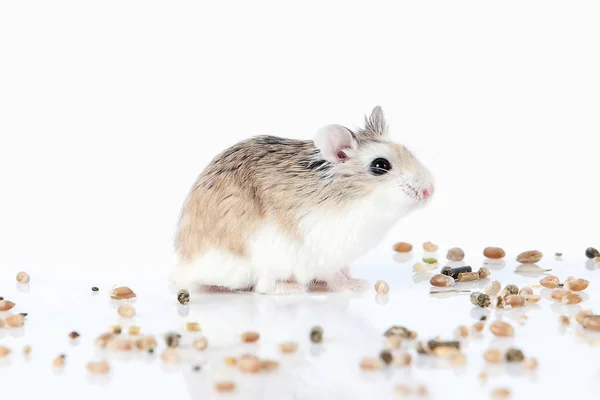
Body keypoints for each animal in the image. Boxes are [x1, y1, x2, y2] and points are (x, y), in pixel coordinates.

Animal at [171, 106, 434, 294]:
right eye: (380, 165)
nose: (429, 191)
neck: (359, 201)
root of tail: (185, 266)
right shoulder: (325, 250)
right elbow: (334, 277)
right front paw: (357, 286)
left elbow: (343, 270)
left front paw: (355, 278)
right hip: (263, 258)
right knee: (264, 287)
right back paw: (295, 288)